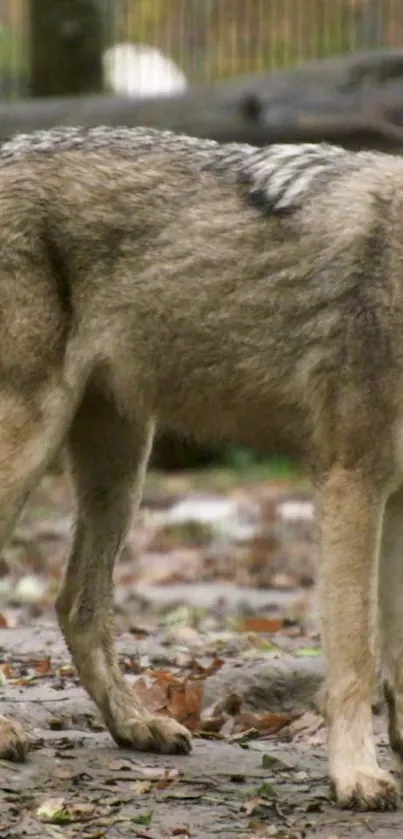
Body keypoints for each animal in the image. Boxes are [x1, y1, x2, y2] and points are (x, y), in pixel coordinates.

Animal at [0, 123, 403, 808]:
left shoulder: (398, 496)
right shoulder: (352, 479)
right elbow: (356, 653)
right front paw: (357, 775)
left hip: (122, 469)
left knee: (75, 603)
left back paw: (136, 723)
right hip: (28, 443)